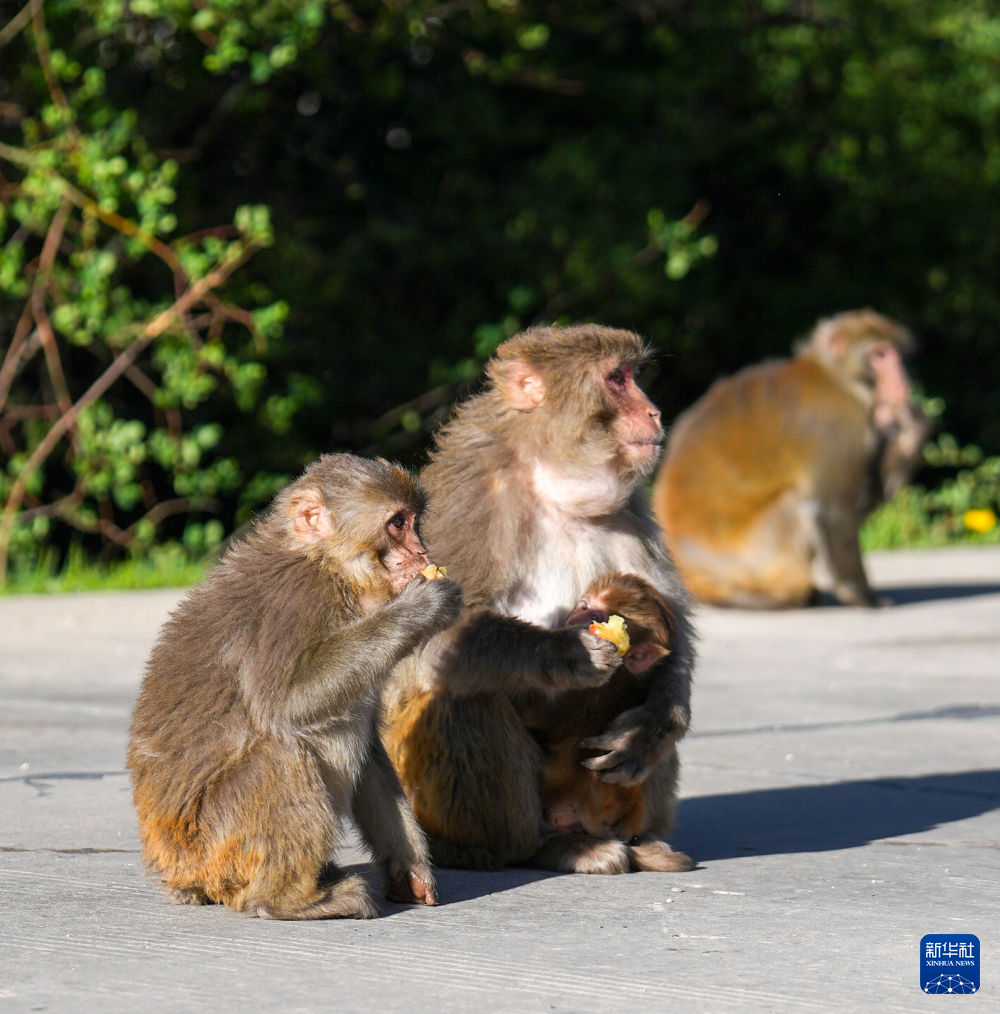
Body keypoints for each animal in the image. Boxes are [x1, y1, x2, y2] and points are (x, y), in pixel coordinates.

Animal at [127, 453, 463, 919]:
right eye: (397, 523)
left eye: (416, 521)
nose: (421, 551)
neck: (329, 566)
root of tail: (175, 872)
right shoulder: (298, 602)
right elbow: (284, 703)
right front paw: (419, 610)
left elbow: (371, 751)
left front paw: (408, 866)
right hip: (215, 846)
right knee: (281, 753)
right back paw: (289, 900)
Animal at [651, 309, 930, 609]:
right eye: (879, 354)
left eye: (898, 354)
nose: (902, 380)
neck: (836, 376)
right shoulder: (837, 424)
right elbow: (833, 512)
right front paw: (862, 596)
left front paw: (911, 431)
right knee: (796, 503)